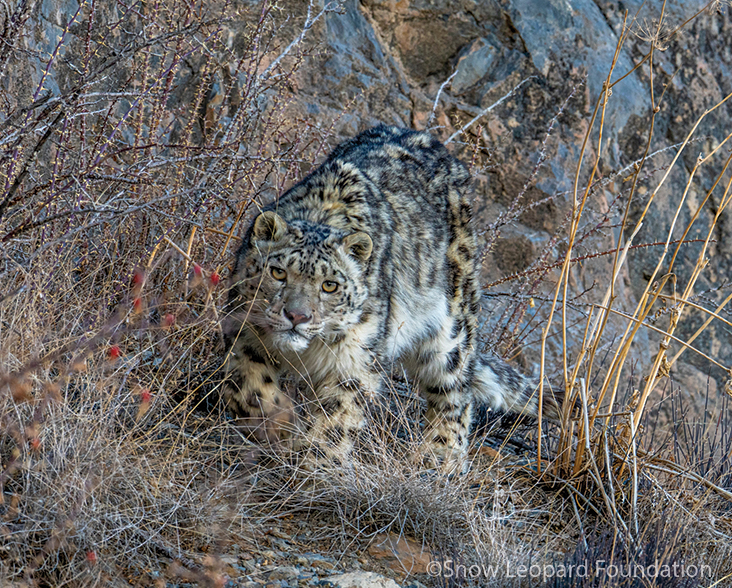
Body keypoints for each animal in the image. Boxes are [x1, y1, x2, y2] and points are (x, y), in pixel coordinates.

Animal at [223, 126, 560, 470]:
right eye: (278, 272)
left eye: (330, 285)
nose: (297, 316)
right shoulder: (246, 332)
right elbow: (249, 389)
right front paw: (280, 424)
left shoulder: (356, 361)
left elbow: (336, 419)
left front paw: (319, 463)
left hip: (451, 329)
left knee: (454, 392)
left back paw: (440, 459)